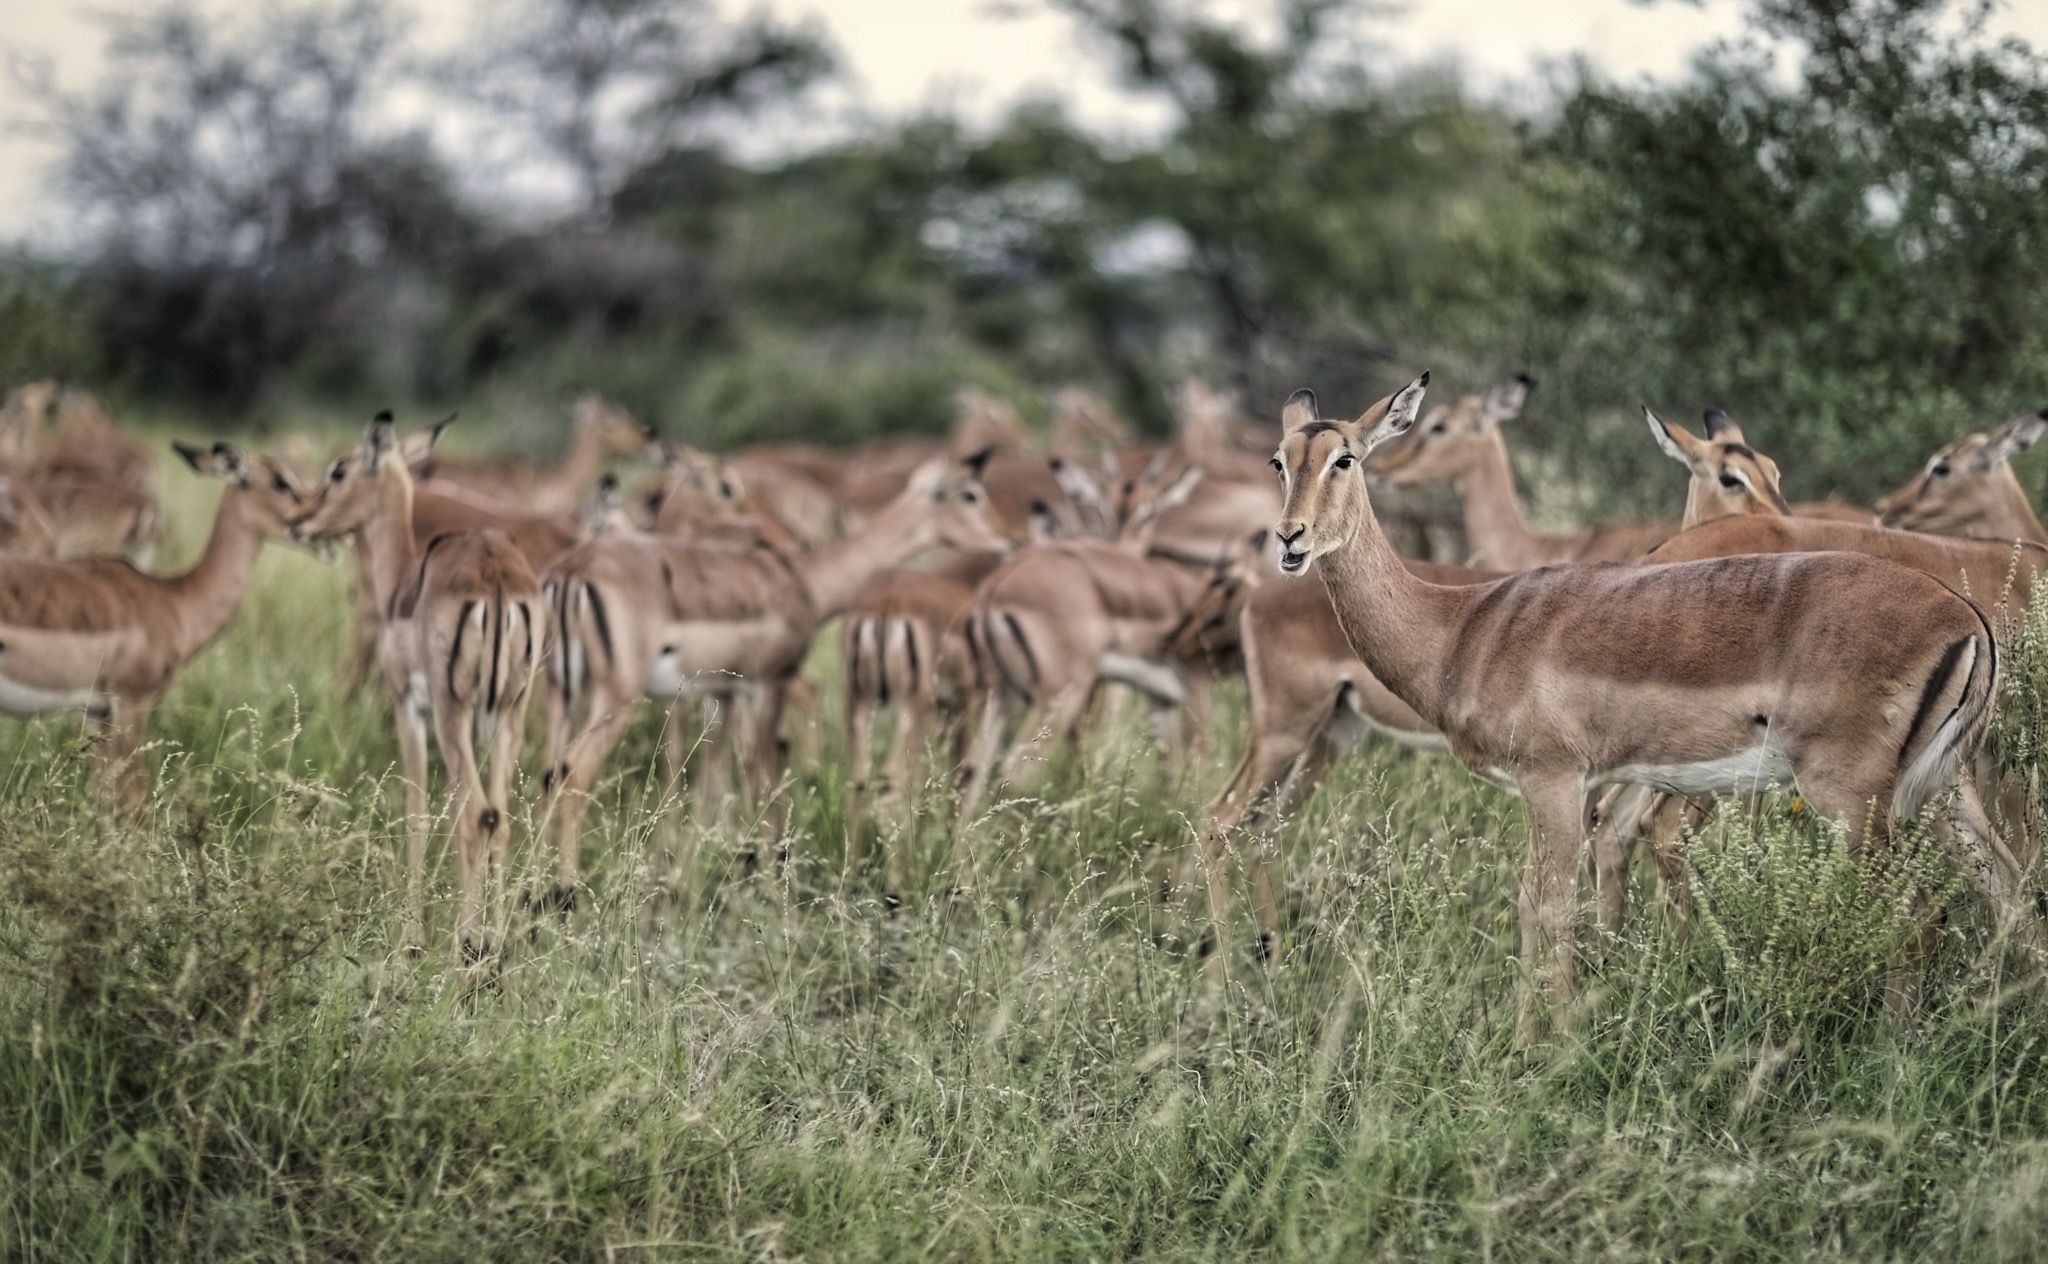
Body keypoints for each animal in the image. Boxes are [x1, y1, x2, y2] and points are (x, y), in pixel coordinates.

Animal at [0, 441, 304, 802]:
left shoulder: (95, 714)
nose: (311, 522)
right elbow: (134, 801)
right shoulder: (131, 704)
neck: (173, 600)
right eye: (281, 482)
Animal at [293, 413, 543, 960]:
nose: (300, 520)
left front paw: (412, 939)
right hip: (510, 712)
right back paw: (495, 944)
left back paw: (464, 950)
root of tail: (496, 575)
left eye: (339, 471)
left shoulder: (409, 705)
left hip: (453, 714)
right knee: (498, 818)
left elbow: (417, 812)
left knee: (474, 815)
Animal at [538, 452, 1010, 899]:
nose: (1007, 540)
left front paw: (692, 879)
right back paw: (567, 889)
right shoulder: (770, 683)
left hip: (564, 692)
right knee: (576, 772)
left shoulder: (722, 694)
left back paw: (536, 886)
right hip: (615, 696)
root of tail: (572, 570)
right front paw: (766, 881)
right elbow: (764, 774)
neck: (803, 580)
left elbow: (716, 783)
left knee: (549, 772)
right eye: (970, 494)